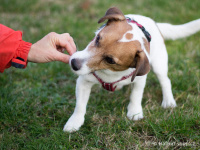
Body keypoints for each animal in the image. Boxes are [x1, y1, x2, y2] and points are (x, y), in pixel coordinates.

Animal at [63, 7, 200, 132]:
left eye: (110, 60)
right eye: (97, 38)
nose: (74, 63)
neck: (111, 73)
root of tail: (155, 24)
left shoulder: (139, 79)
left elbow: (136, 95)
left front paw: (134, 112)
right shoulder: (84, 82)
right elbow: (80, 105)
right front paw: (74, 122)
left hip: (159, 65)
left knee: (165, 81)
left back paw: (168, 101)